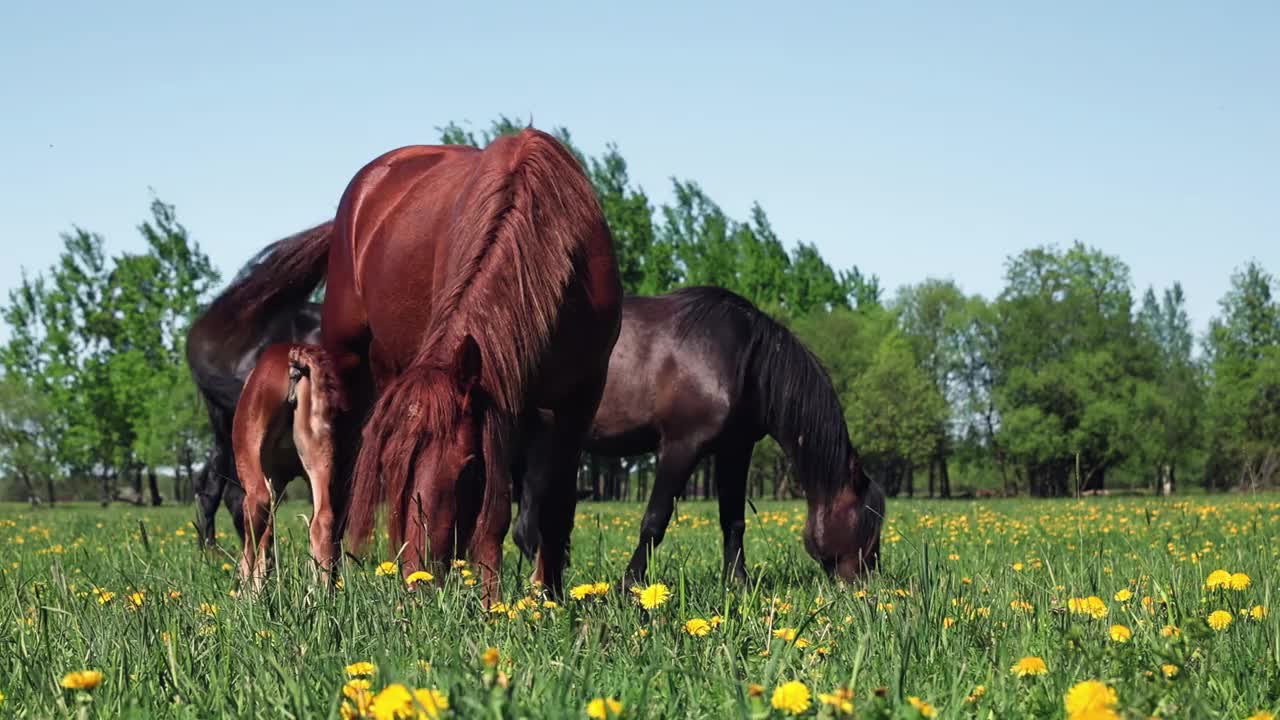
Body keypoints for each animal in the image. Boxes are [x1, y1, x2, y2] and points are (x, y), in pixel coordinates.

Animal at [232, 343, 345, 589]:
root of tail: (297, 354)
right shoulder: (279, 480)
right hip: (320, 459)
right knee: (323, 520)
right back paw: (322, 595)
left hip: (250, 463)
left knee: (257, 509)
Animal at [327, 128, 622, 599]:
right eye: (395, 467)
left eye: (467, 469)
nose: (420, 581)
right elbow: (498, 507)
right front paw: (492, 602)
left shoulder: (577, 398)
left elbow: (552, 505)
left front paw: (547, 598)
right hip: (350, 359)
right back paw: (328, 583)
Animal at [514, 283, 885, 586]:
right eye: (867, 522)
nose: (867, 584)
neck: (744, 358)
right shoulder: (682, 446)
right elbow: (655, 520)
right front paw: (629, 585)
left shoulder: (735, 449)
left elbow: (733, 520)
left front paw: (738, 584)